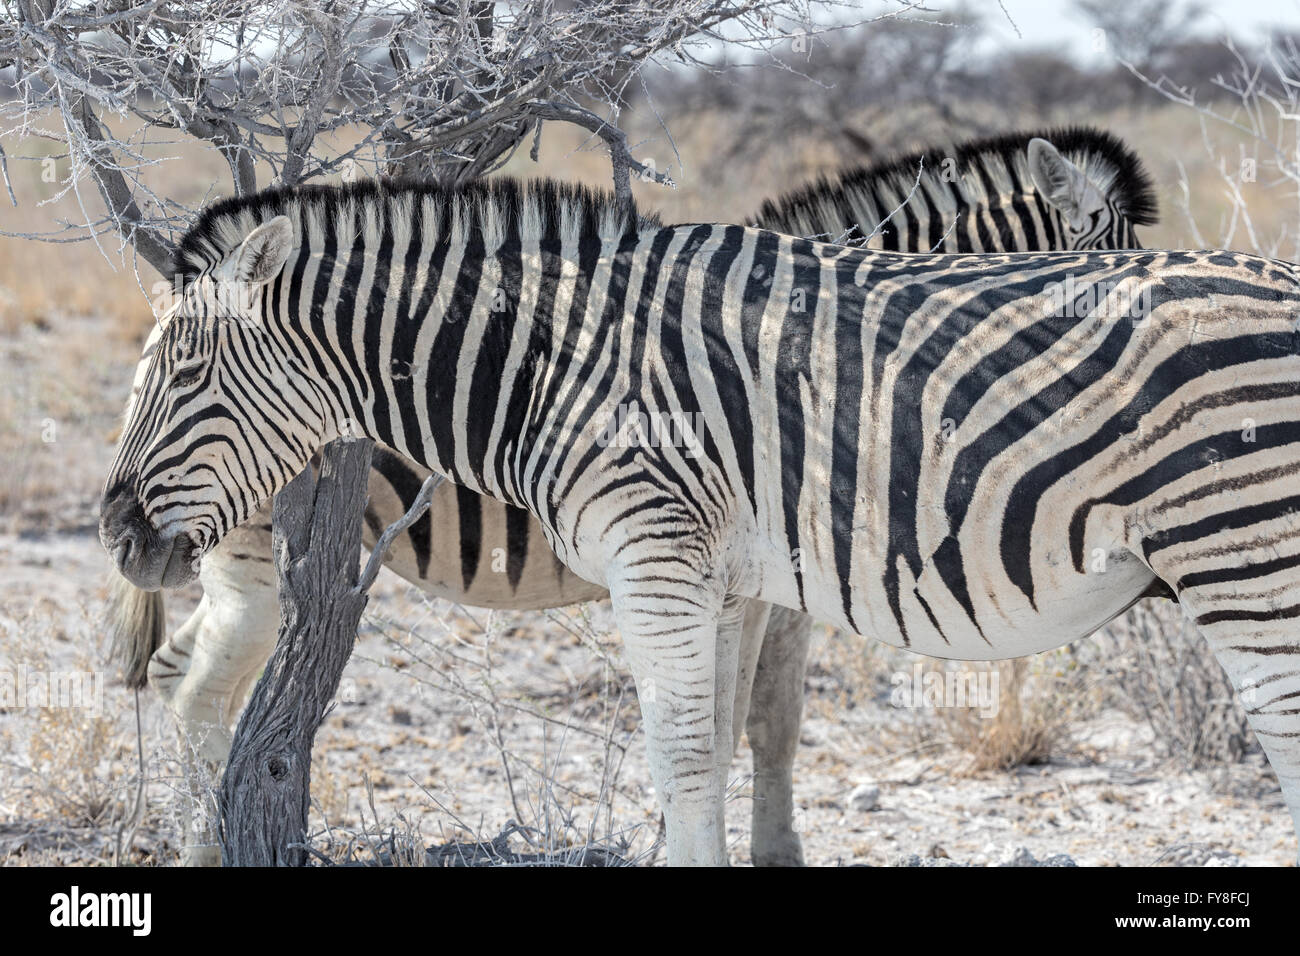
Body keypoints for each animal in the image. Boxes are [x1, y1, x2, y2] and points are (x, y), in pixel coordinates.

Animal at [99, 174, 1300, 866]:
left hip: (1247, 568)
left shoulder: (658, 557)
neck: (555, 362)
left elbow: (685, 752)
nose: (116, 534)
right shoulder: (723, 576)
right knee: (195, 685)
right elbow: (720, 744)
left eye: (185, 372)